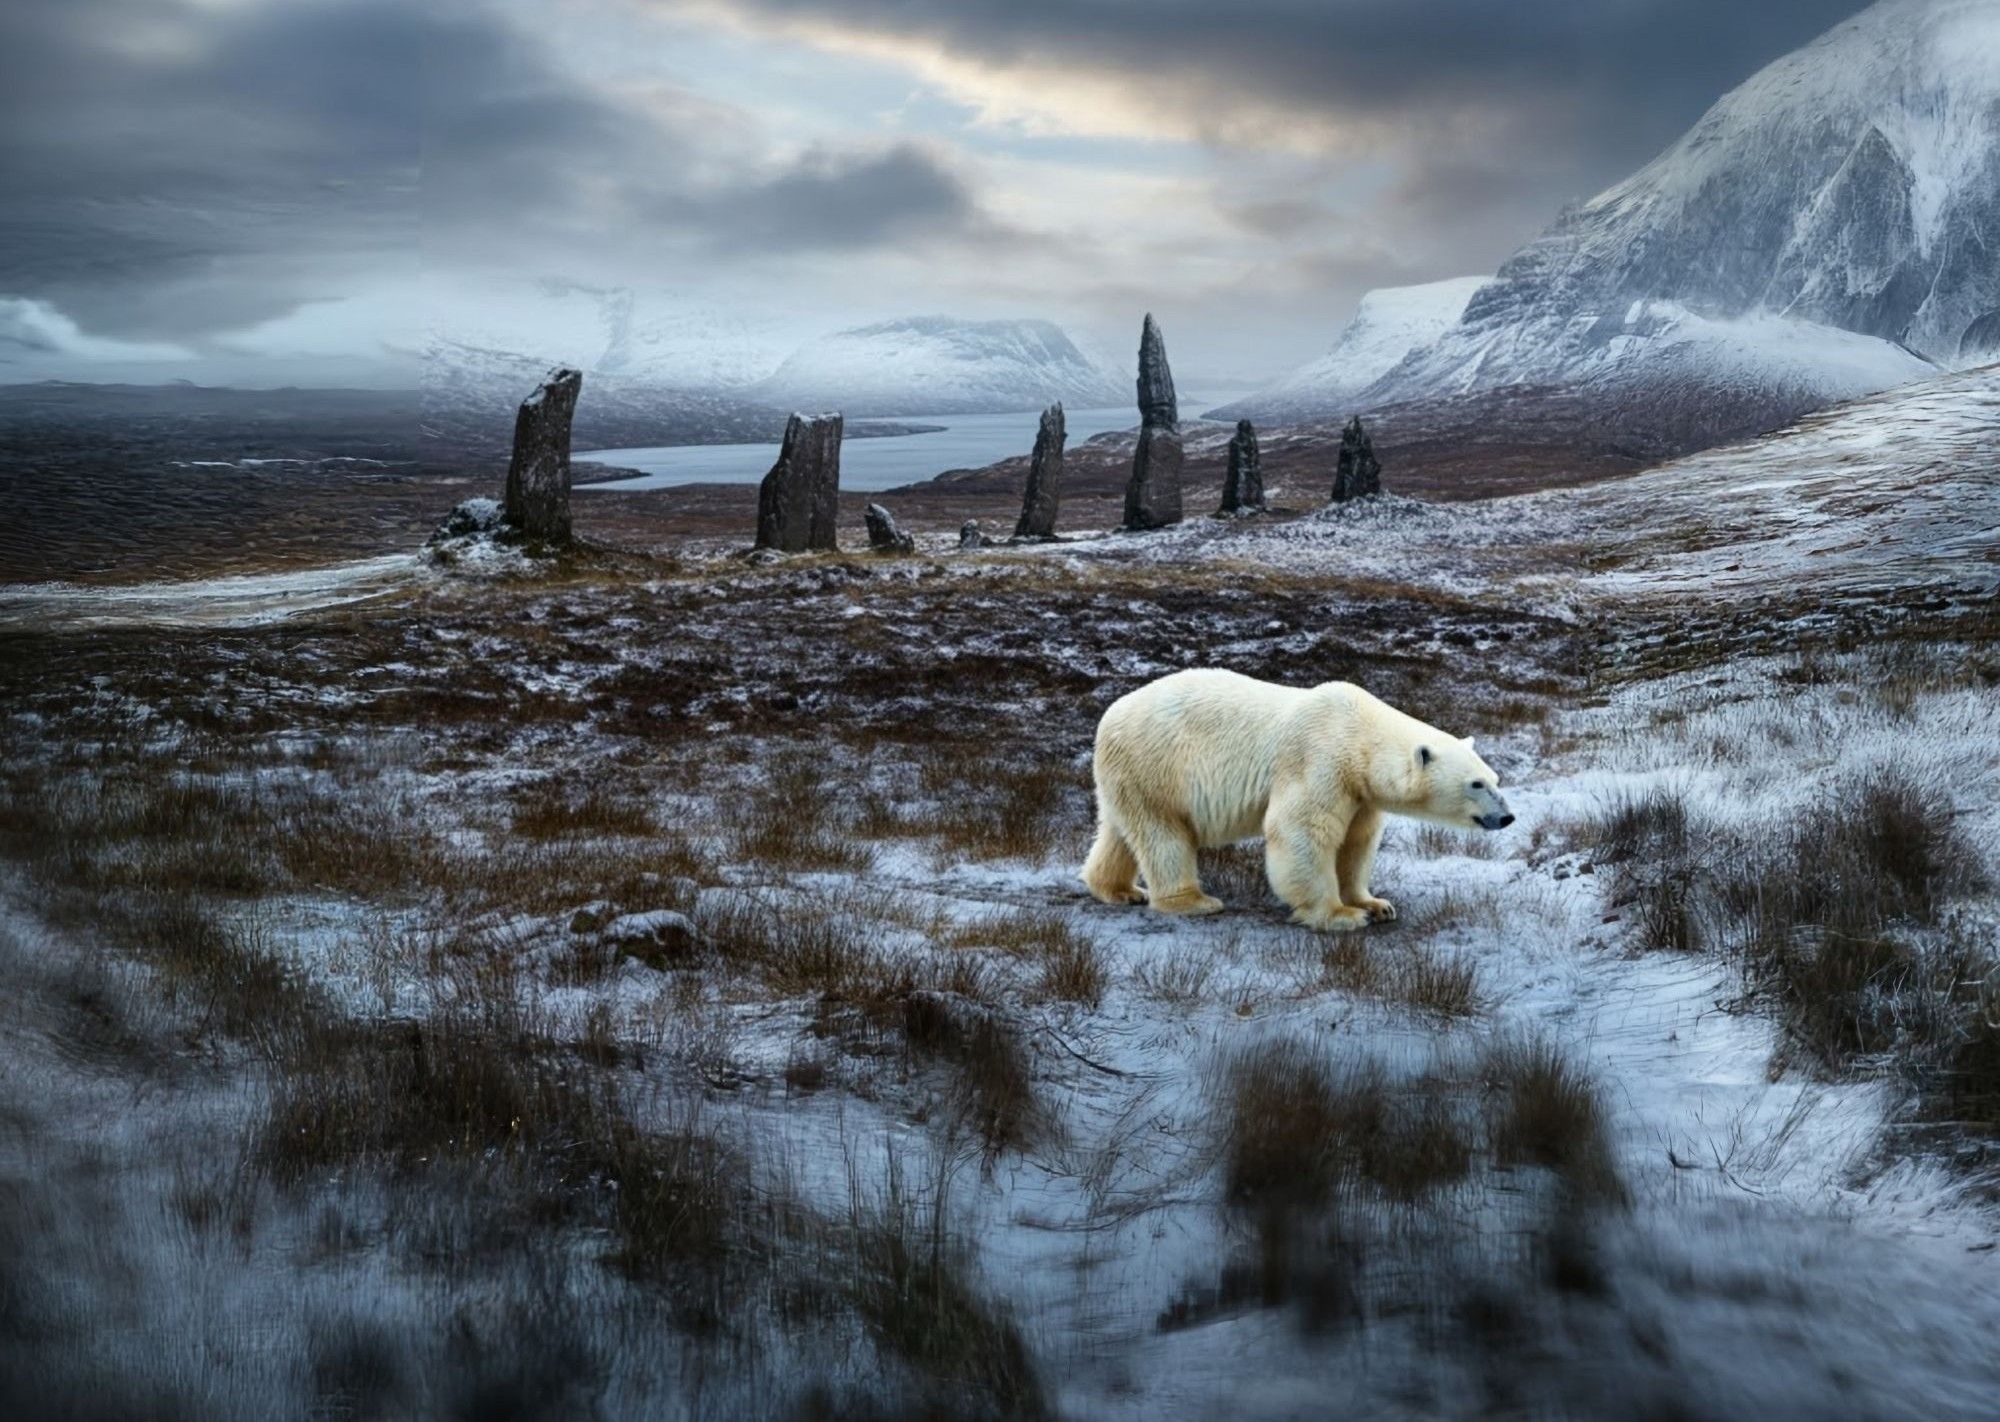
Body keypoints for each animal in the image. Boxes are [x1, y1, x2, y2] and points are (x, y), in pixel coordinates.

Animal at [1088, 672, 1504, 936]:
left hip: (1129, 777)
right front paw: (1341, 916)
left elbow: (1357, 841)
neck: (1357, 733)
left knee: (1119, 830)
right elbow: (1302, 831)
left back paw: (1118, 889)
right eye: (1476, 783)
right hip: (1159, 766)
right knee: (1164, 835)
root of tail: (1109, 716)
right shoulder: (1320, 759)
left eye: (1496, 779)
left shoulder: (1360, 792)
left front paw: (1376, 904)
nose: (1507, 816)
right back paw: (1193, 900)